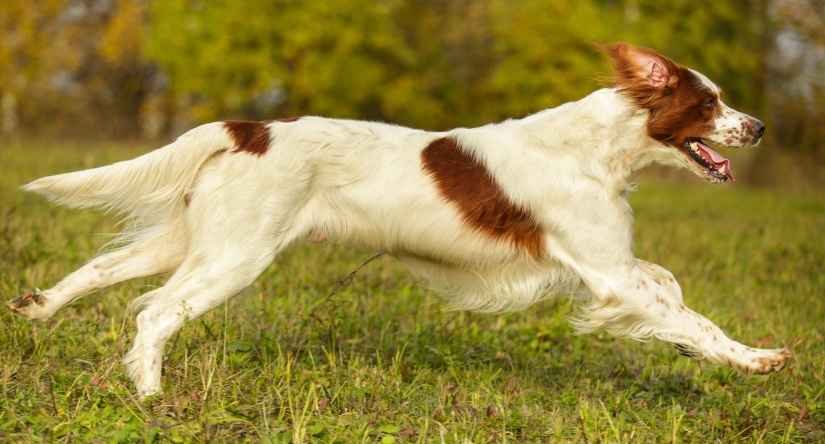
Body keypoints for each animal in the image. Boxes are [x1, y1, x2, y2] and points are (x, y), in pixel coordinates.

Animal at [8, 43, 792, 398]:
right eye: (709, 103)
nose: (757, 127)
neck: (595, 147)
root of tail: (251, 127)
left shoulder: (612, 266)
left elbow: (671, 290)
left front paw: (699, 351)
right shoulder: (605, 273)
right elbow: (687, 313)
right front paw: (756, 359)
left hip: (196, 238)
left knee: (103, 271)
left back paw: (37, 306)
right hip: (235, 253)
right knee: (154, 313)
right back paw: (151, 396)